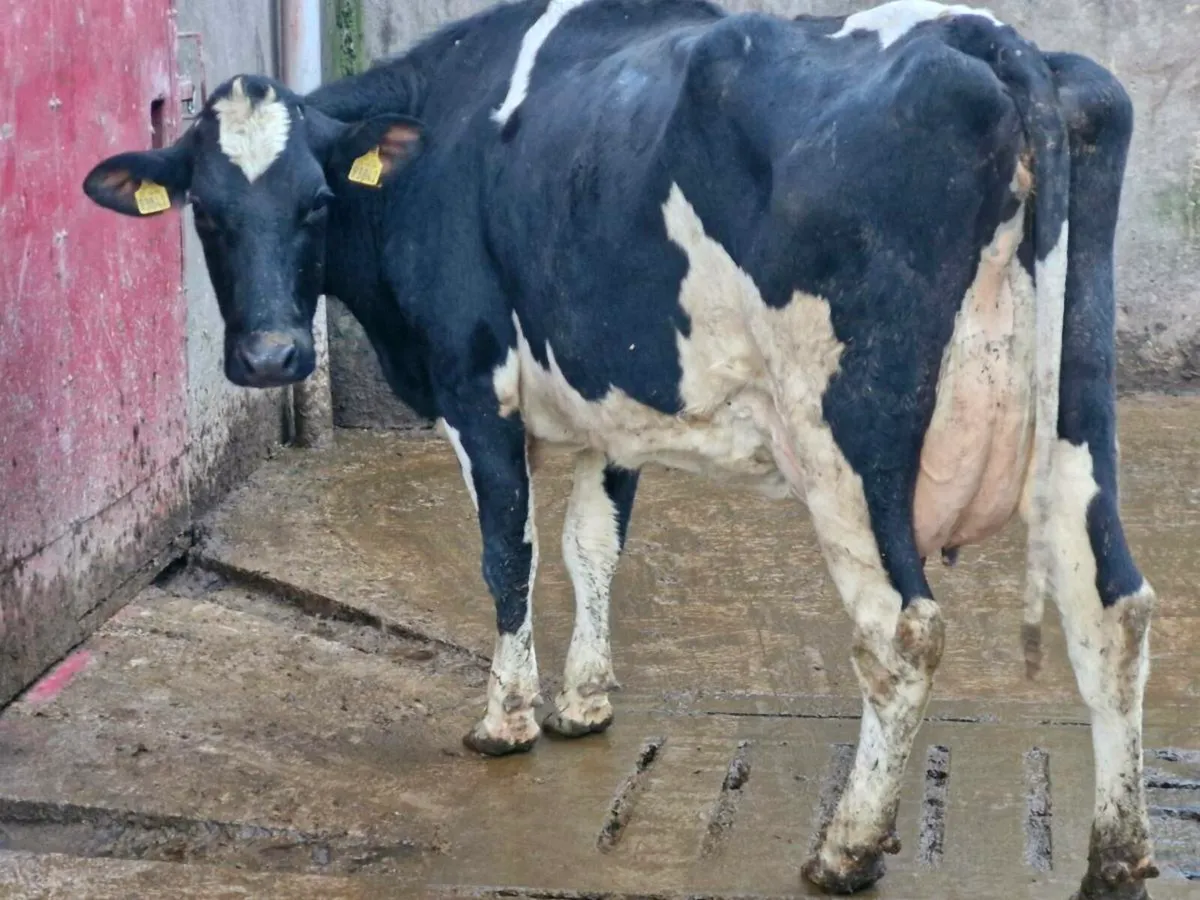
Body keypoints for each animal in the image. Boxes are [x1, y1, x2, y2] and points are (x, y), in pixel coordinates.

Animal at [82, 0, 1157, 895]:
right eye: (208, 210)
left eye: (314, 202)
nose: (274, 355)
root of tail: (982, 35)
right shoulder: (617, 399)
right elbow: (591, 546)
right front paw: (585, 703)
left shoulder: (474, 385)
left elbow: (508, 552)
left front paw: (507, 719)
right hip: (1079, 410)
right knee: (1113, 601)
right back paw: (1116, 854)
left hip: (848, 435)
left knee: (902, 630)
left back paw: (846, 848)